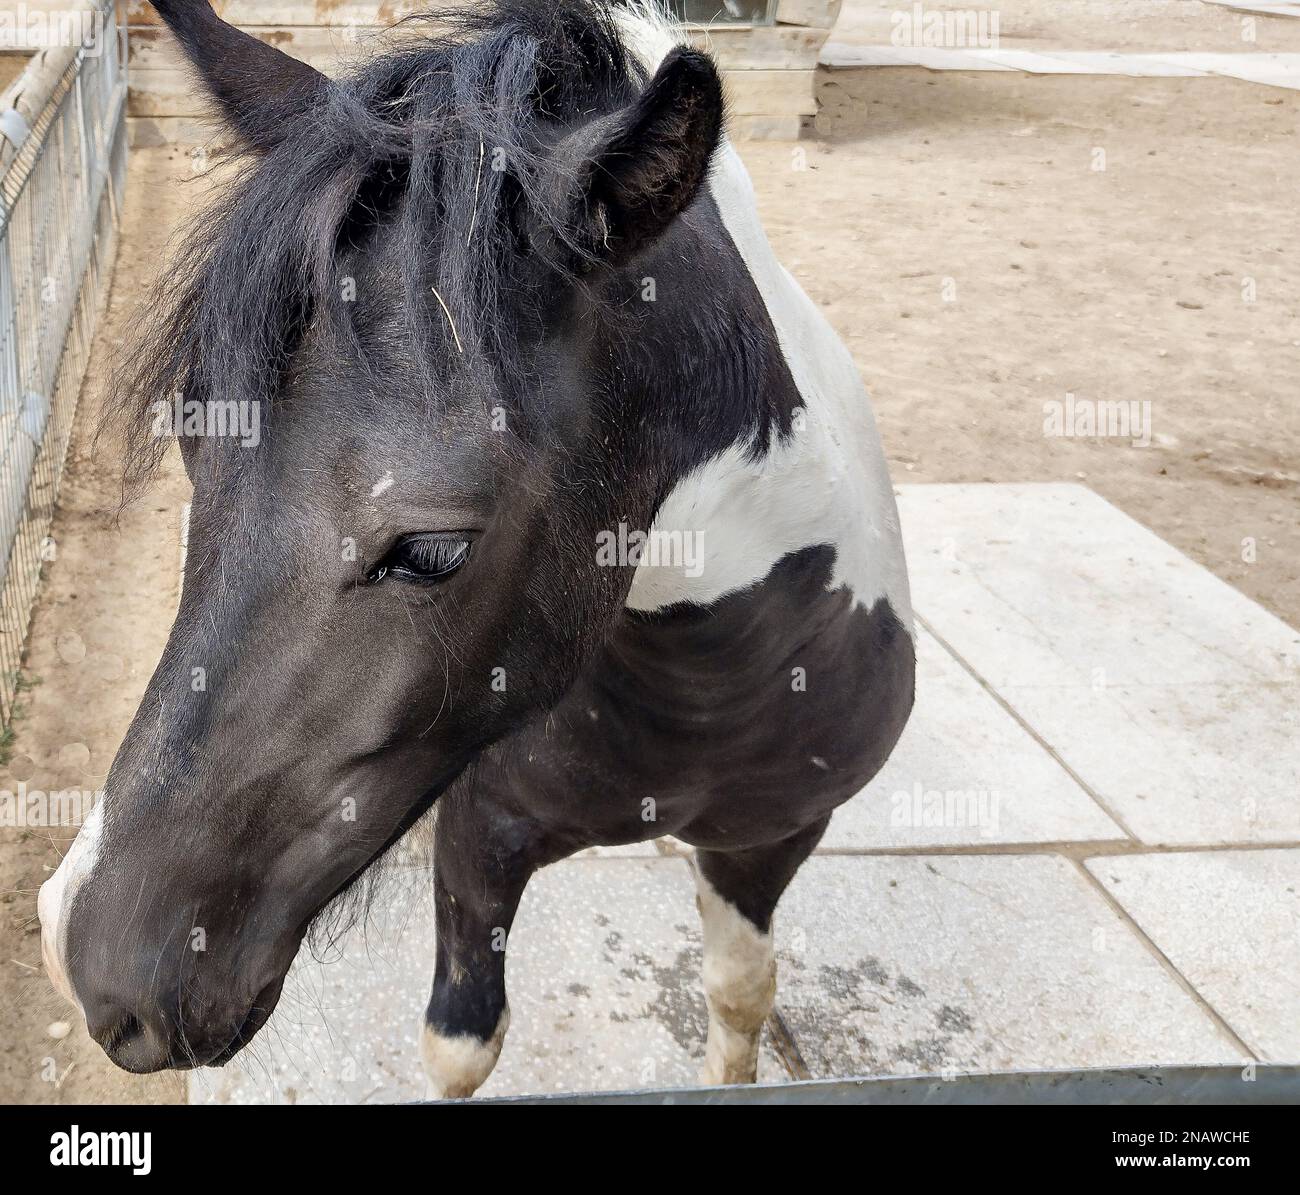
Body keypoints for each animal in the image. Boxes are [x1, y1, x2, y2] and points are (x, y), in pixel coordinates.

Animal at [40, 0, 915, 1097]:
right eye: (193, 445)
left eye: (432, 550)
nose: (91, 960)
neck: (707, 688)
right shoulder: (480, 847)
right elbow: (463, 1041)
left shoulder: (772, 841)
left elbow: (741, 997)